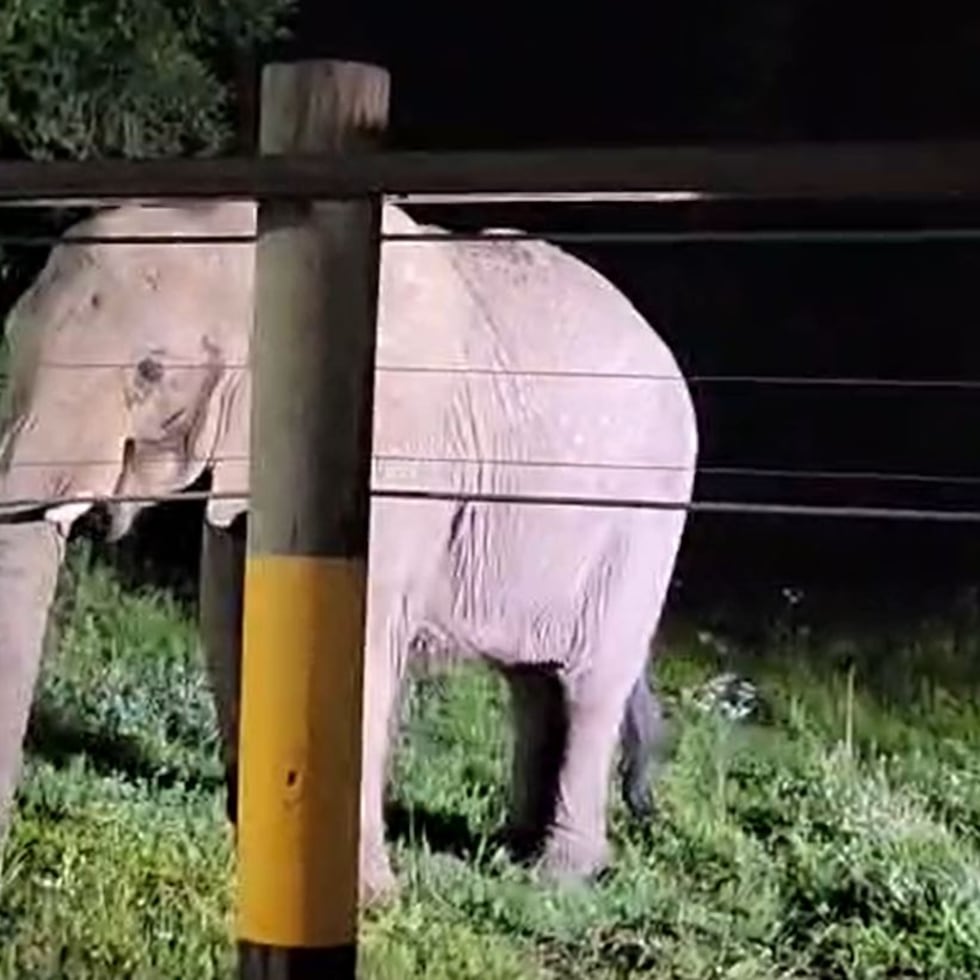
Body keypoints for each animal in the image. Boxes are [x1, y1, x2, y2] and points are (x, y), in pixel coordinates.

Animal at [1, 201, 704, 904]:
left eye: (150, 372)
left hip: (644, 525)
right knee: (533, 684)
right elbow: (234, 613)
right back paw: (512, 851)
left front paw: (364, 899)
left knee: (588, 687)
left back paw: (554, 879)